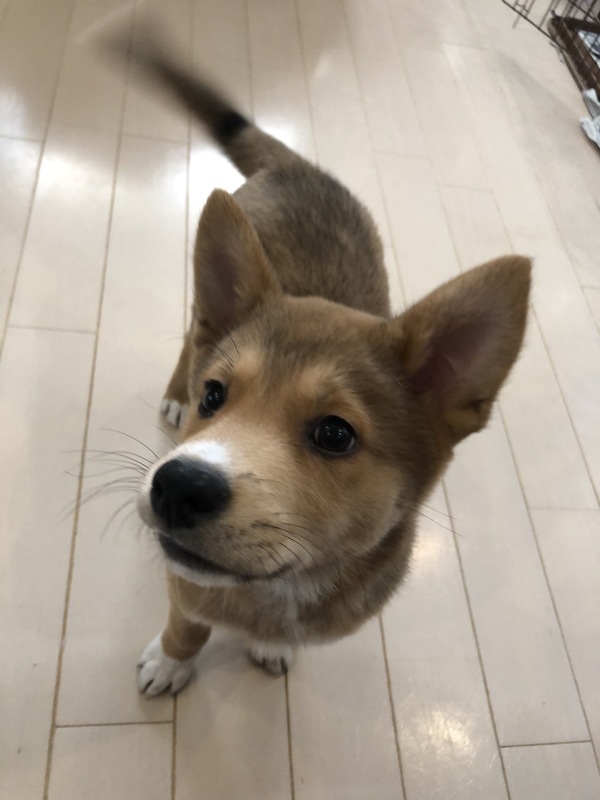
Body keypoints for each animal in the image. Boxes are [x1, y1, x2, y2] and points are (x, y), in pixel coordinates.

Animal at [101, 24, 531, 696]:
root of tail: (296, 165)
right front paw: (171, 662)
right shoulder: (186, 586)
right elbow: (188, 625)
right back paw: (172, 390)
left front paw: (271, 647)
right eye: (214, 397)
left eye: (335, 434)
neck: (277, 588)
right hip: (200, 313)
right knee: (190, 337)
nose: (178, 485)